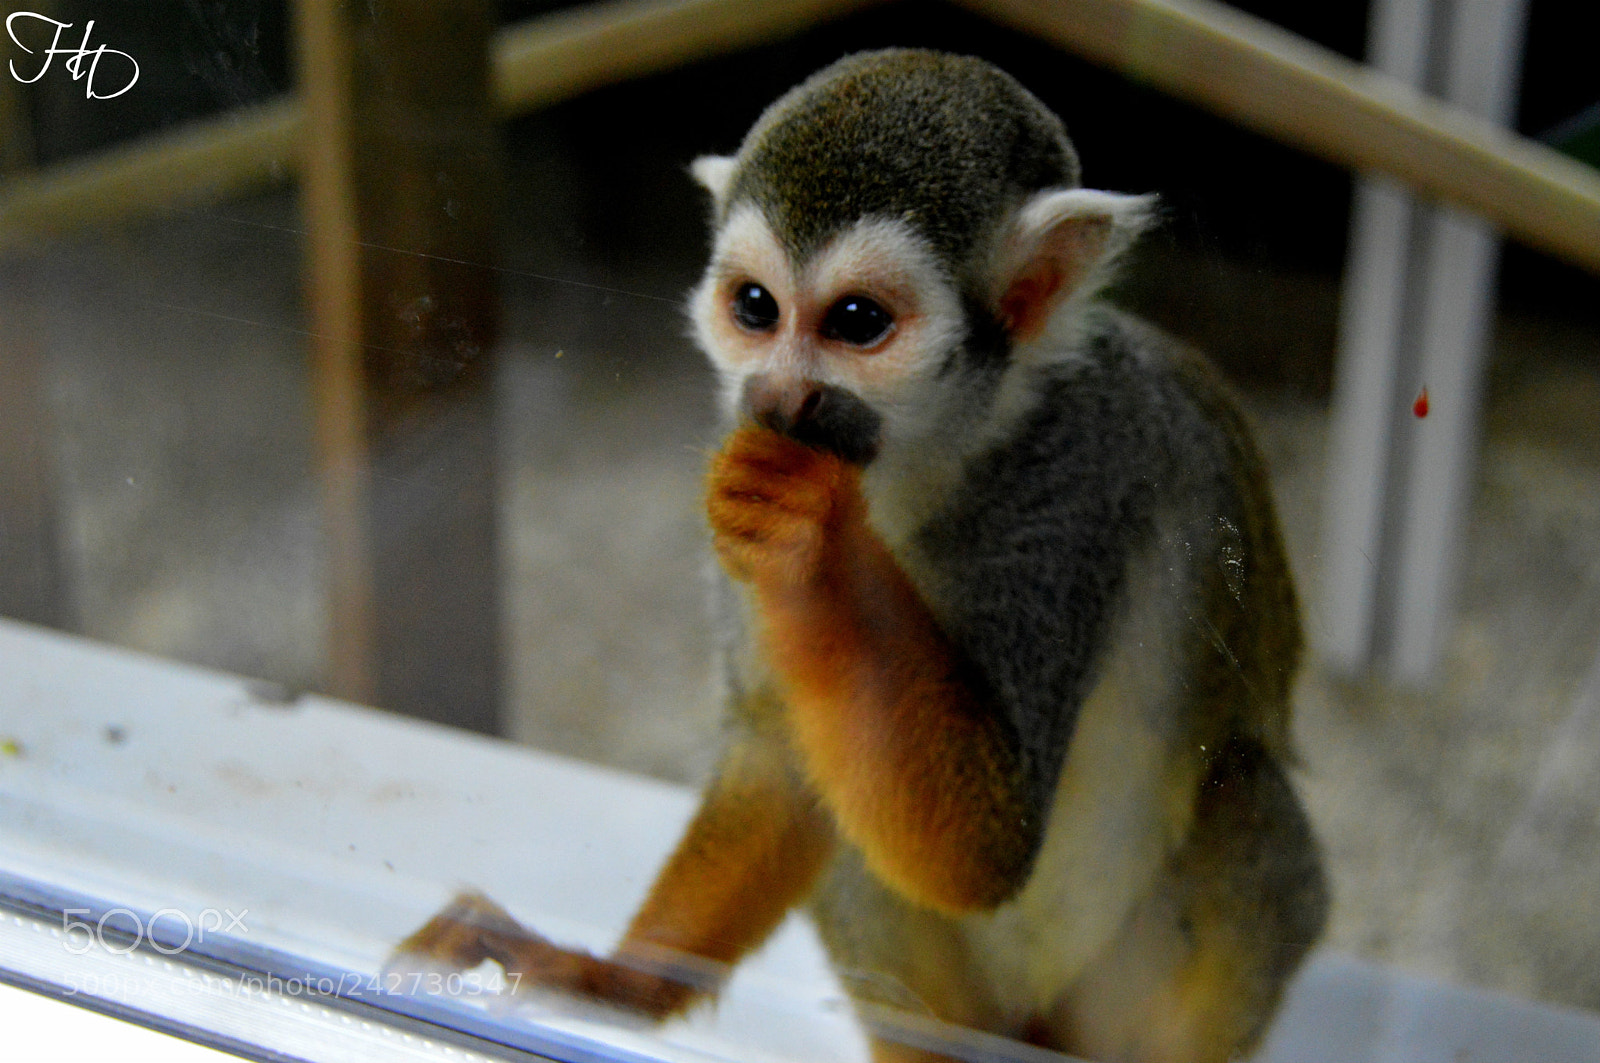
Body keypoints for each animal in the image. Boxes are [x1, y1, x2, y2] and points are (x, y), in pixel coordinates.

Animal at [395, 49, 1327, 1063]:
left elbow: (986, 844)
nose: (779, 397)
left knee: (1246, 804)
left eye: (854, 320)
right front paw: (614, 979)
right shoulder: (733, 447)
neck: (936, 453)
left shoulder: (1076, 481)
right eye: (755, 308)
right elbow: (783, 754)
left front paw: (811, 540)